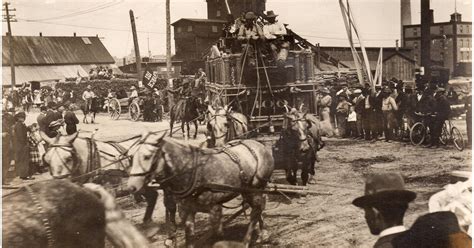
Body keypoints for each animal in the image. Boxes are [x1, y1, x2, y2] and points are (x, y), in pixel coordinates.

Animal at [127, 133, 274, 247]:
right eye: (131, 158)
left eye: (147, 156)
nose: (131, 186)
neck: (195, 173)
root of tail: (259, 145)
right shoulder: (187, 210)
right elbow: (189, 236)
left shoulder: (215, 209)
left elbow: (217, 235)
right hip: (247, 190)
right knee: (258, 207)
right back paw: (263, 233)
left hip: (256, 188)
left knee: (256, 211)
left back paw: (246, 241)